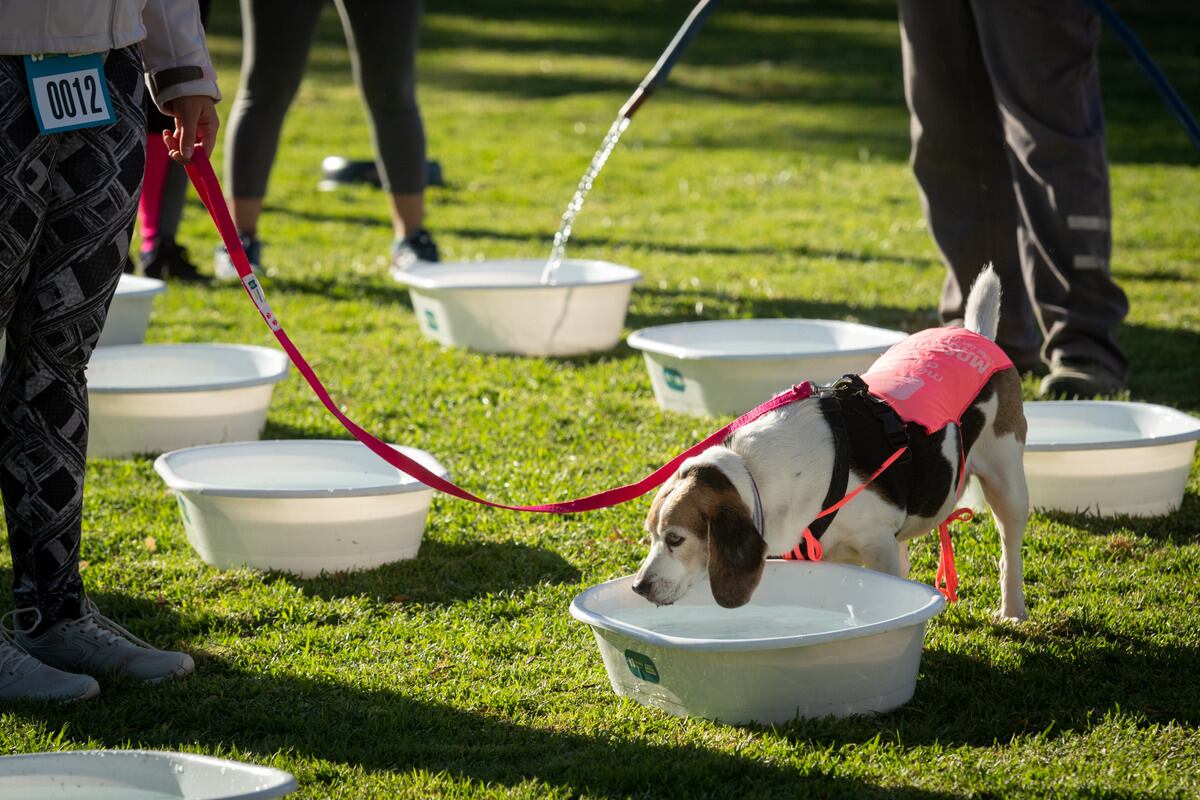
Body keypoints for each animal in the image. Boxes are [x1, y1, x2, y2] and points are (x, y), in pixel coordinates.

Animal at [633, 268, 1027, 618]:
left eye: (675, 539)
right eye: (651, 535)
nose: (638, 586)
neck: (755, 475)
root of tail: (974, 334)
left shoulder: (878, 543)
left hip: (1006, 481)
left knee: (1010, 547)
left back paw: (1012, 611)